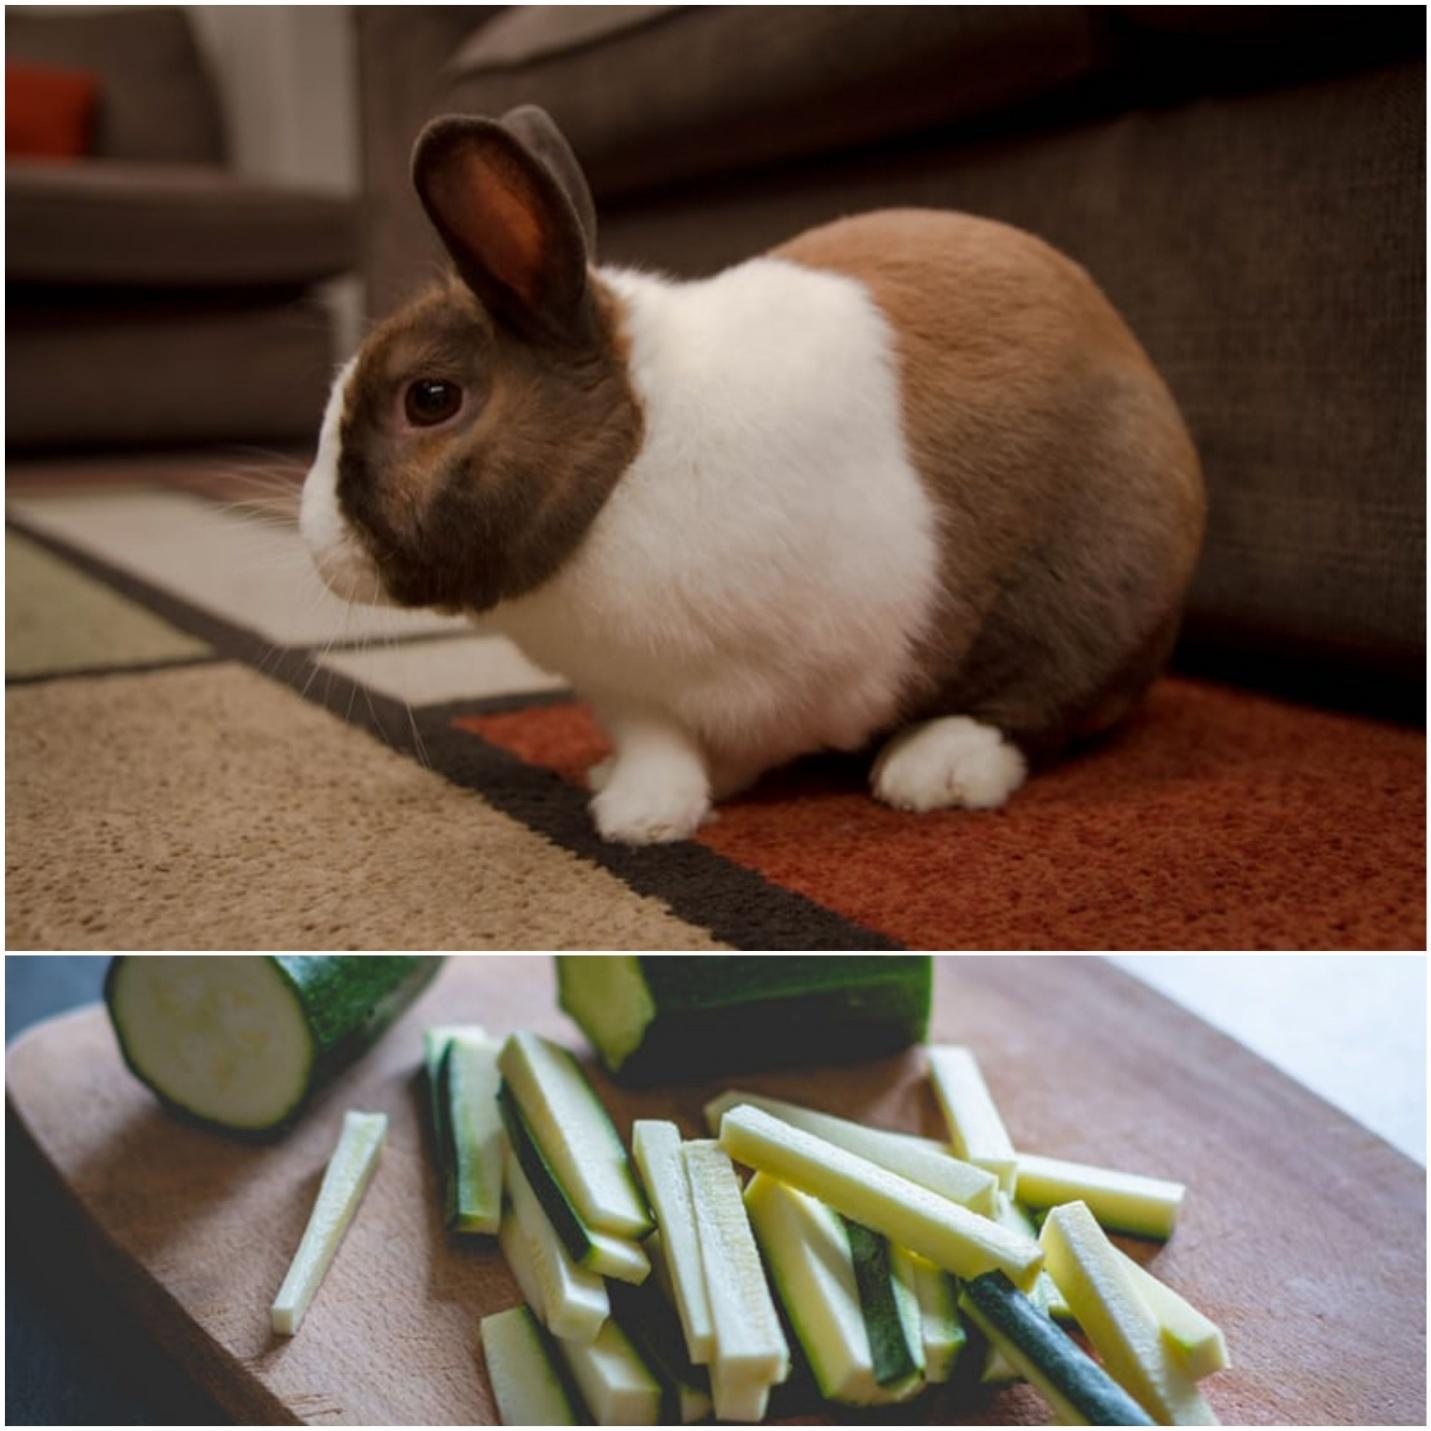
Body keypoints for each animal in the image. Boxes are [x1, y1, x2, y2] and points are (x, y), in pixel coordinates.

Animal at [301, 105, 1205, 846]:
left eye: (430, 398)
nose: (315, 543)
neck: (631, 455)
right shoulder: (632, 690)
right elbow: (656, 741)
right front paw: (632, 794)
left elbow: (692, 747)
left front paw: (637, 820)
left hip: (1090, 595)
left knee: (1041, 707)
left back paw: (932, 769)